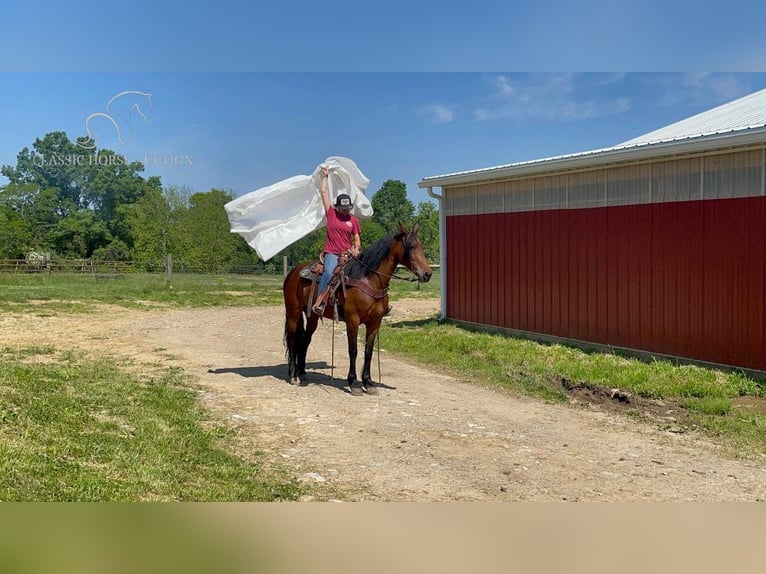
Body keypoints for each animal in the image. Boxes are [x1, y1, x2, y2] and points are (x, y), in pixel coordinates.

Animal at [284, 224, 436, 396]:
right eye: (411, 247)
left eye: (421, 246)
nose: (427, 274)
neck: (369, 280)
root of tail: (293, 271)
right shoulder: (352, 320)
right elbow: (353, 350)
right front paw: (354, 382)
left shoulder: (375, 323)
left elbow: (368, 352)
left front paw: (368, 382)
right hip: (293, 312)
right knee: (292, 340)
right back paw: (293, 375)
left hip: (312, 317)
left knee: (305, 340)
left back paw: (302, 373)